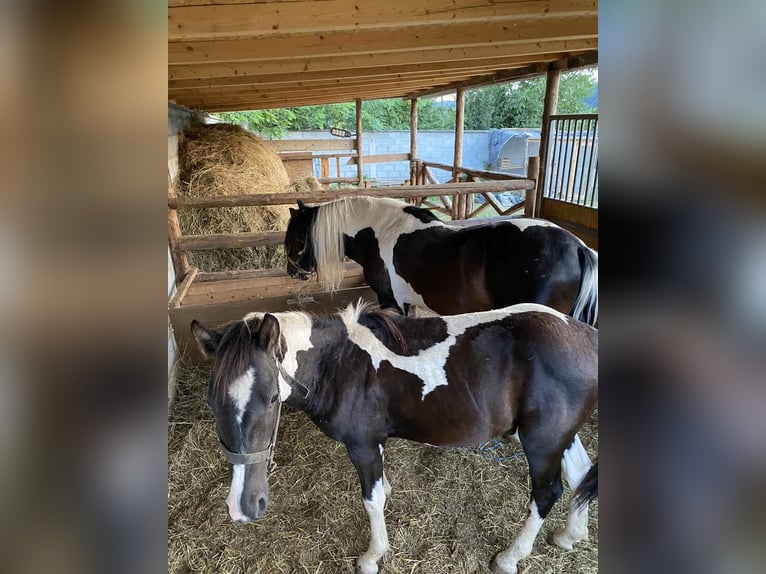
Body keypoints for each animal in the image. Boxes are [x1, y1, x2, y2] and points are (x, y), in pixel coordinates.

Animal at [192, 304, 600, 572]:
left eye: (272, 398)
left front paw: (372, 557)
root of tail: (588, 337)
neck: (340, 364)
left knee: (547, 494)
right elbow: (381, 490)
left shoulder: (362, 446)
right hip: (560, 436)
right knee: (581, 475)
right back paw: (570, 535)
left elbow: (371, 502)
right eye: (210, 400)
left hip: (542, 441)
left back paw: (509, 557)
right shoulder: (375, 442)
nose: (243, 506)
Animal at [286, 197, 600, 324]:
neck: (378, 231)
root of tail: (578, 248)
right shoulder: (405, 302)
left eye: (296, 239)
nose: (292, 272)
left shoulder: (390, 300)